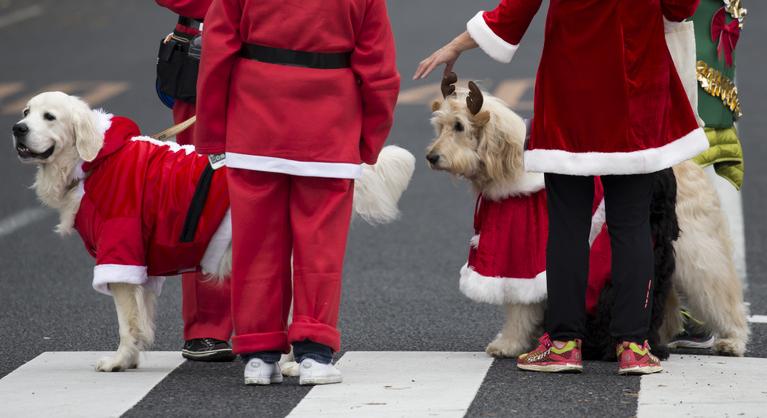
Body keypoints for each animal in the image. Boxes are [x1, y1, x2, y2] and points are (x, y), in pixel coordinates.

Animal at [12, 92, 416, 372]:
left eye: (49, 117)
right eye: (26, 112)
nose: (17, 129)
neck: (94, 159)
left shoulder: (121, 250)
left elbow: (126, 323)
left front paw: (118, 361)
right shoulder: (141, 265)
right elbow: (141, 318)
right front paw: (133, 358)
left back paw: (289, 363)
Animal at [426, 77, 752, 360]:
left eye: (459, 126)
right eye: (440, 126)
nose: (431, 157)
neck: (509, 168)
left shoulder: (523, 259)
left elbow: (519, 308)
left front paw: (507, 344)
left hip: (696, 252)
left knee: (720, 291)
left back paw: (733, 339)